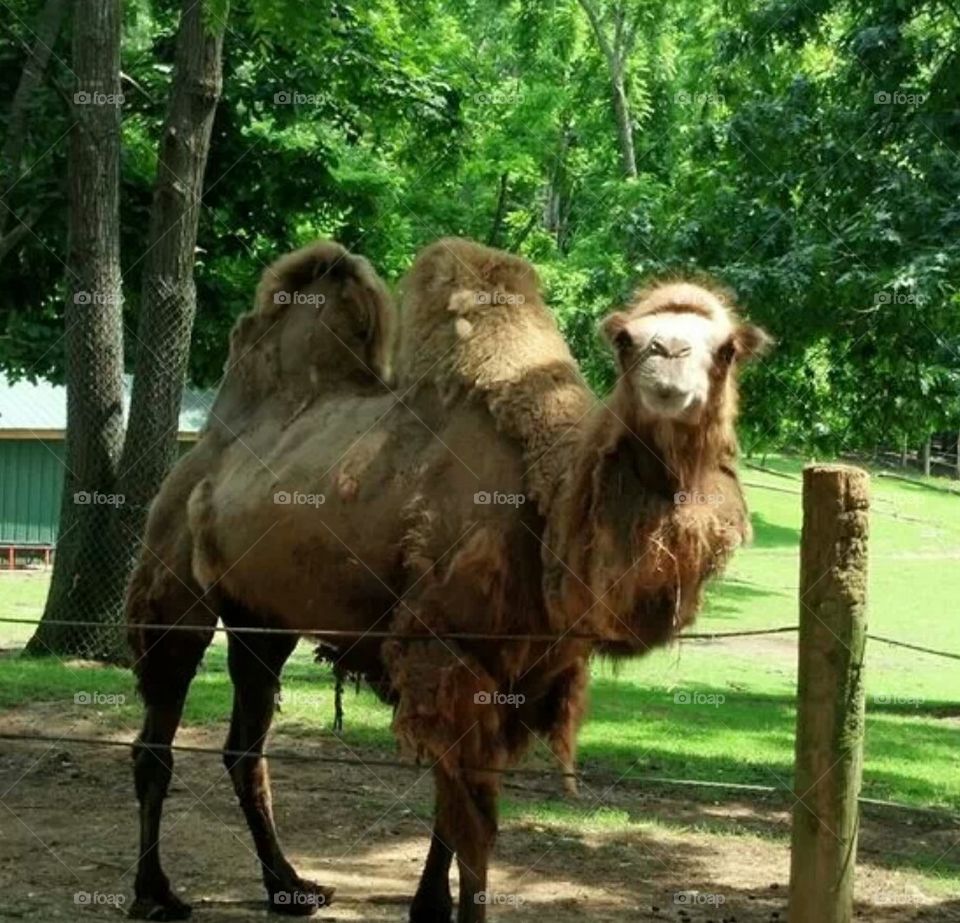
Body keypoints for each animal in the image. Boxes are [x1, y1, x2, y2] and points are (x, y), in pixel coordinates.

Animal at [126, 237, 769, 923]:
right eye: (626, 340)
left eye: (727, 348)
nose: (666, 359)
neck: (549, 502)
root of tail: (204, 449)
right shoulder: (446, 649)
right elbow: (473, 814)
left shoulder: (523, 672)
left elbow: (453, 800)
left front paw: (428, 906)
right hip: (174, 583)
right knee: (157, 735)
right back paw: (155, 893)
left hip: (263, 619)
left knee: (244, 745)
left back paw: (289, 886)